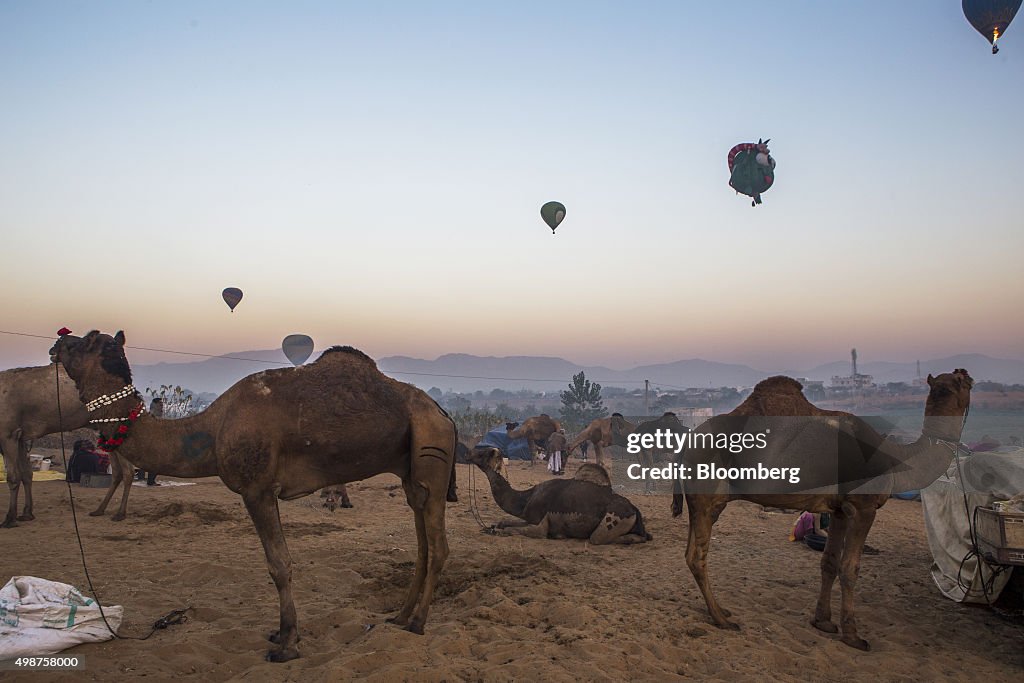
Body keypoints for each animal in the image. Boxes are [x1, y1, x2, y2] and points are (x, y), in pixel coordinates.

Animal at [0, 366, 90, 528]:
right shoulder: (20, 436)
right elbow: (26, 474)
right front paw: (27, 514)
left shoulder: (7, 433)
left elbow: (13, 477)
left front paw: (10, 519)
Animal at [49, 331, 458, 663]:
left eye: (86, 341)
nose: (57, 343)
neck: (212, 429)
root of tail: (444, 414)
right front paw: (282, 634)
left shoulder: (257, 489)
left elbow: (279, 565)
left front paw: (287, 644)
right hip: (410, 471)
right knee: (422, 542)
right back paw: (400, 616)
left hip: (432, 455)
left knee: (438, 546)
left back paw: (418, 623)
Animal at [468, 446, 651, 548]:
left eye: (482, 453)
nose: (469, 453)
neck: (526, 498)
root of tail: (634, 510)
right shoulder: (529, 517)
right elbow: (504, 521)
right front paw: (494, 526)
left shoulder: (539, 524)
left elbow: (512, 530)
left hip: (613, 519)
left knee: (598, 538)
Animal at [667, 370, 970, 651]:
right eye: (964, 382)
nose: (966, 373)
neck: (896, 458)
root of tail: (687, 444)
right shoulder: (863, 507)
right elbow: (850, 568)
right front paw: (853, 636)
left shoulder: (839, 510)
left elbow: (829, 562)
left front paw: (823, 621)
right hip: (707, 497)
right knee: (697, 557)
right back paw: (721, 619)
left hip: (706, 503)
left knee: (691, 552)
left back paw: (721, 611)